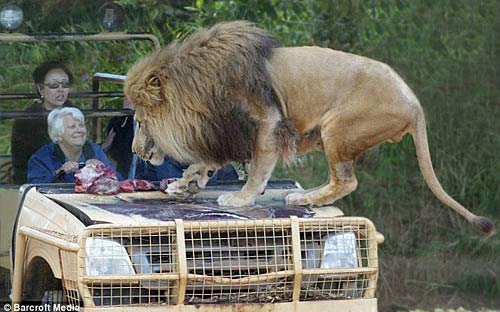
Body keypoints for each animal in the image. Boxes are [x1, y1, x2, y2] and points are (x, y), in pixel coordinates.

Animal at [124, 20, 492, 234]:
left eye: (140, 122)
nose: (134, 150)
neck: (197, 91)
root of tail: (414, 103)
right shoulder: (222, 129)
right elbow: (206, 163)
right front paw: (185, 185)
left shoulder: (266, 122)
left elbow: (257, 168)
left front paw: (241, 198)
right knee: (341, 180)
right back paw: (306, 195)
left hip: (338, 127)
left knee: (347, 181)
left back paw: (304, 195)